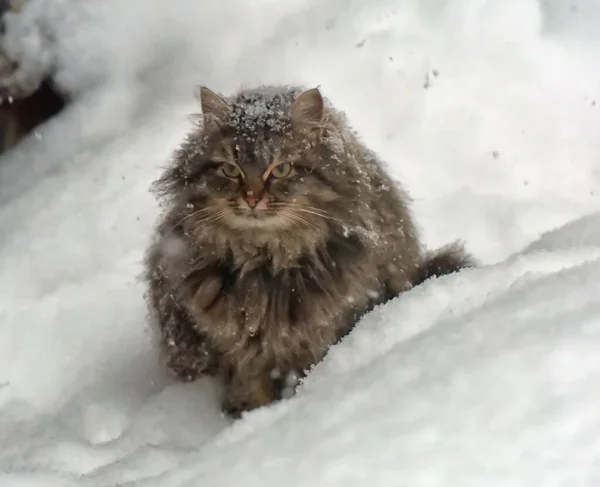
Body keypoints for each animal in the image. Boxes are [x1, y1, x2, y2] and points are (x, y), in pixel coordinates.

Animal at [145, 85, 474, 420]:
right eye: (229, 169)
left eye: (281, 169)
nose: (251, 199)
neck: (262, 263)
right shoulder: (236, 345)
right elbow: (251, 385)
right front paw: (250, 416)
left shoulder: (320, 335)